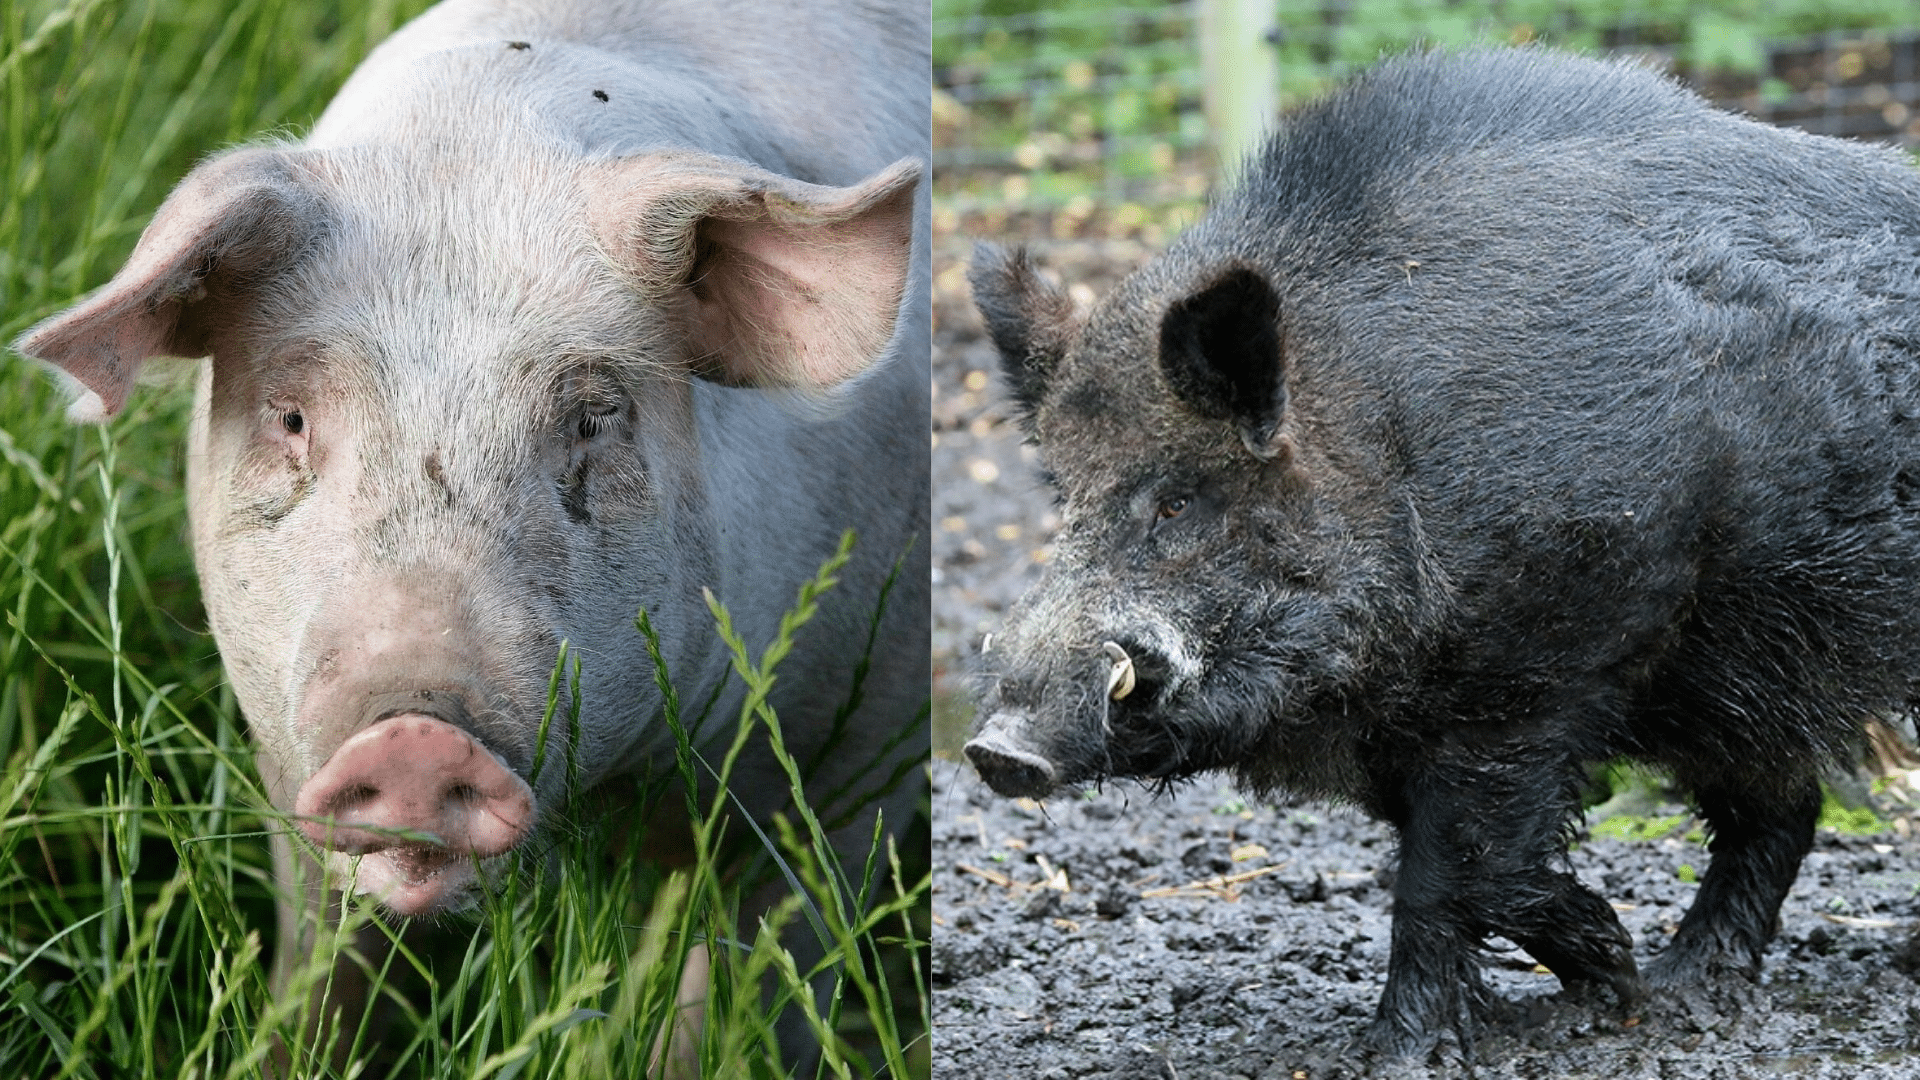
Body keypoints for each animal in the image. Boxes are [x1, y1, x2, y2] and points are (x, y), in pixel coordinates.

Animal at [12, 0, 928, 1055]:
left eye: (593, 418)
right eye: (292, 418)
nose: (412, 734)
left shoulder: (856, 752)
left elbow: (755, 989)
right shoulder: (283, 758)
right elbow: (324, 965)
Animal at [965, 48, 1920, 1058]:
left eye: (1179, 499)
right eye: (1062, 495)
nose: (998, 750)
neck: (1385, 449)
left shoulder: (1539, 677)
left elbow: (1450, 875)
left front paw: (1400, 1054)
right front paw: (1609, 973)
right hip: (1740, 672)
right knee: (1782, 809)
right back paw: (1682, 986)